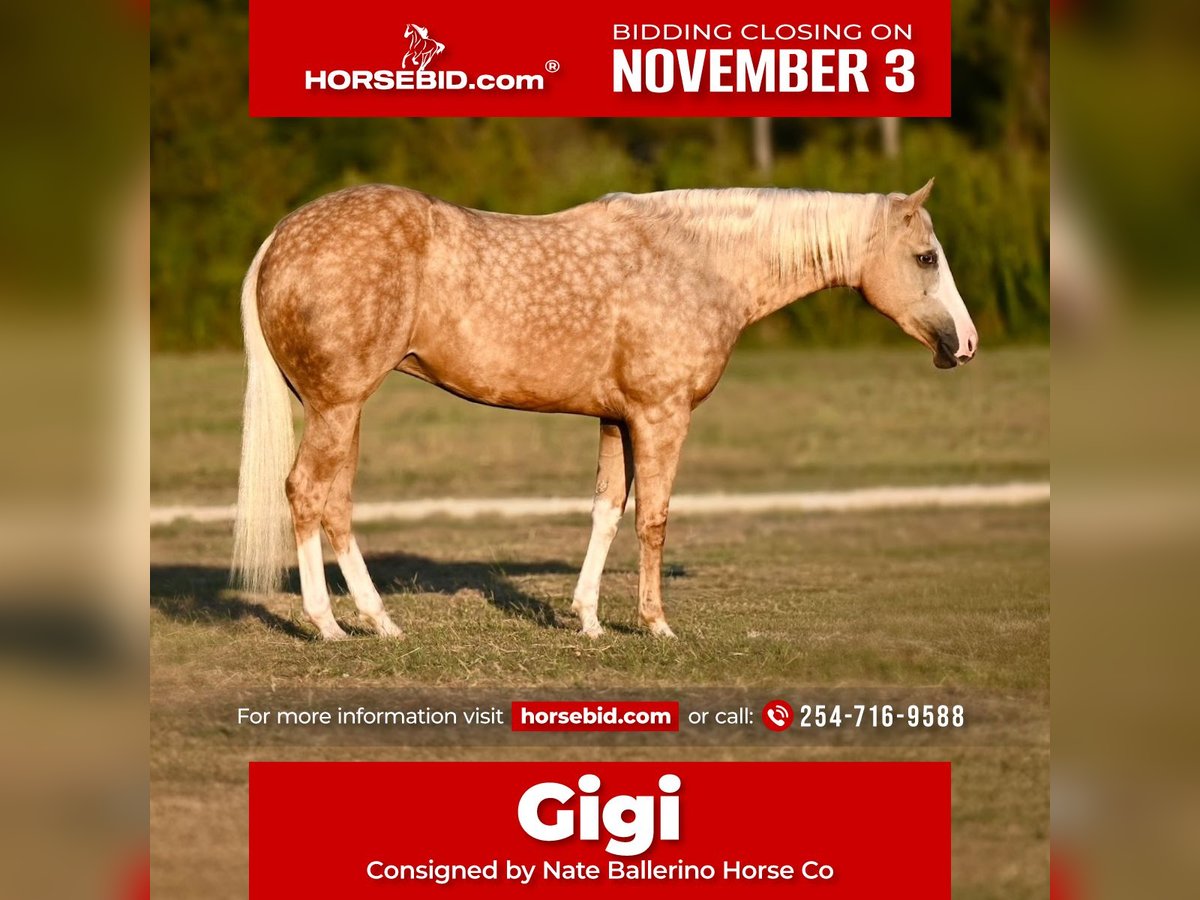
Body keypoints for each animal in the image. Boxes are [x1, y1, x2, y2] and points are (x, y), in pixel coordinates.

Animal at [232, 181, 978, 641]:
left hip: (345, 409)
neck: (701, 261)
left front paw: (589, 619)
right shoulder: (660, 415)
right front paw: (656, 624)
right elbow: (653, 518)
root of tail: (280, 236)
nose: (965, 344)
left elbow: (605, 509)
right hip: (337, 406)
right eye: (926, 257)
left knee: (335, 504)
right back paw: (328, 624)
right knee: (307, 494)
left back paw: (380, 621)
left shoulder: (617, 419)